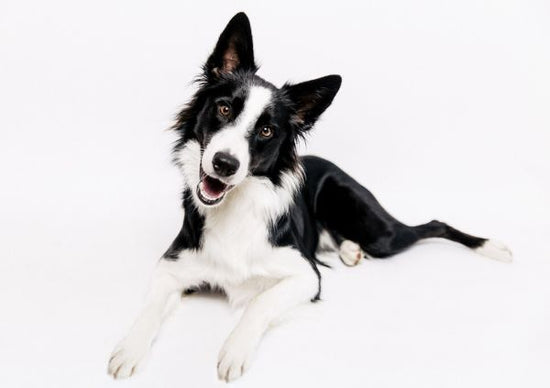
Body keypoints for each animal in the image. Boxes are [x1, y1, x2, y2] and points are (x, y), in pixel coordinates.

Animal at [106, 11, 512, 382]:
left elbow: (260, 301)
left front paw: (234, 350)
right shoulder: (172, 266)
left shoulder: (305, 275)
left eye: (266, 131)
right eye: (223, 108)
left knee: (433, 224)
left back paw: (491, 246)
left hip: (378, 231)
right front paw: (129, 348)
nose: (224, 164)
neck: (234, 208)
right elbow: (150, 306)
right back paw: (349, 250)